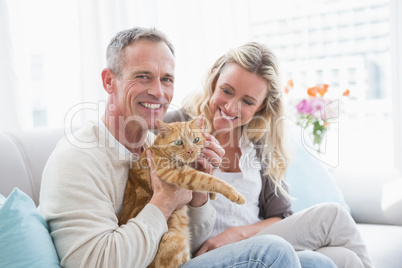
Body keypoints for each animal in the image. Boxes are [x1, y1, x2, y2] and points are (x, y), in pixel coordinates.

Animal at [118, 115, 247, 268]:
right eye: (179, 142)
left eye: (195, 140)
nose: (190, 151)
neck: (158, 149)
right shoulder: (179, 174)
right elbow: (209, 180)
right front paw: (235, 194)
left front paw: (213, 195)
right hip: (174, 238)